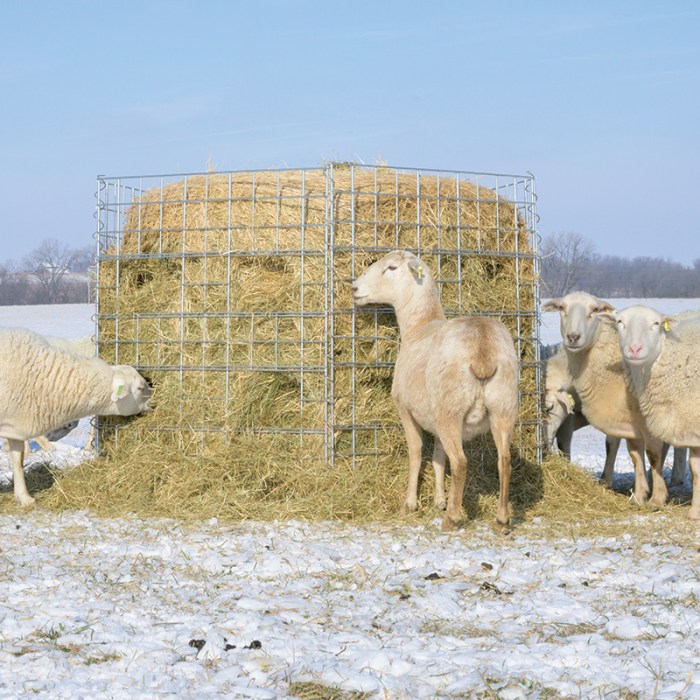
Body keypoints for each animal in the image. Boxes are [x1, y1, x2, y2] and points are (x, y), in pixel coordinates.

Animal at [352, 250, 516, 532]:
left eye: (391, 268)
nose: (355, 288)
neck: (419, 323)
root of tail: (483, 349)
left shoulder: (405, 409)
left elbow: (416, 452)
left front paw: (410, 504)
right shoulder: (435, 419)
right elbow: (439, 456)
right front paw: (439, 499)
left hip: (451, 410)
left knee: (460, 462)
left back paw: (452, 517)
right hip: (502, 407)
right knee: (503, 461)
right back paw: (502, 519)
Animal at [600, 306, 700, 520]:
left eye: (656, 324)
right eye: (619, 322)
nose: (634, 349)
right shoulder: (689, 427)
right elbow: (695, 469)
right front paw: (695, 512)